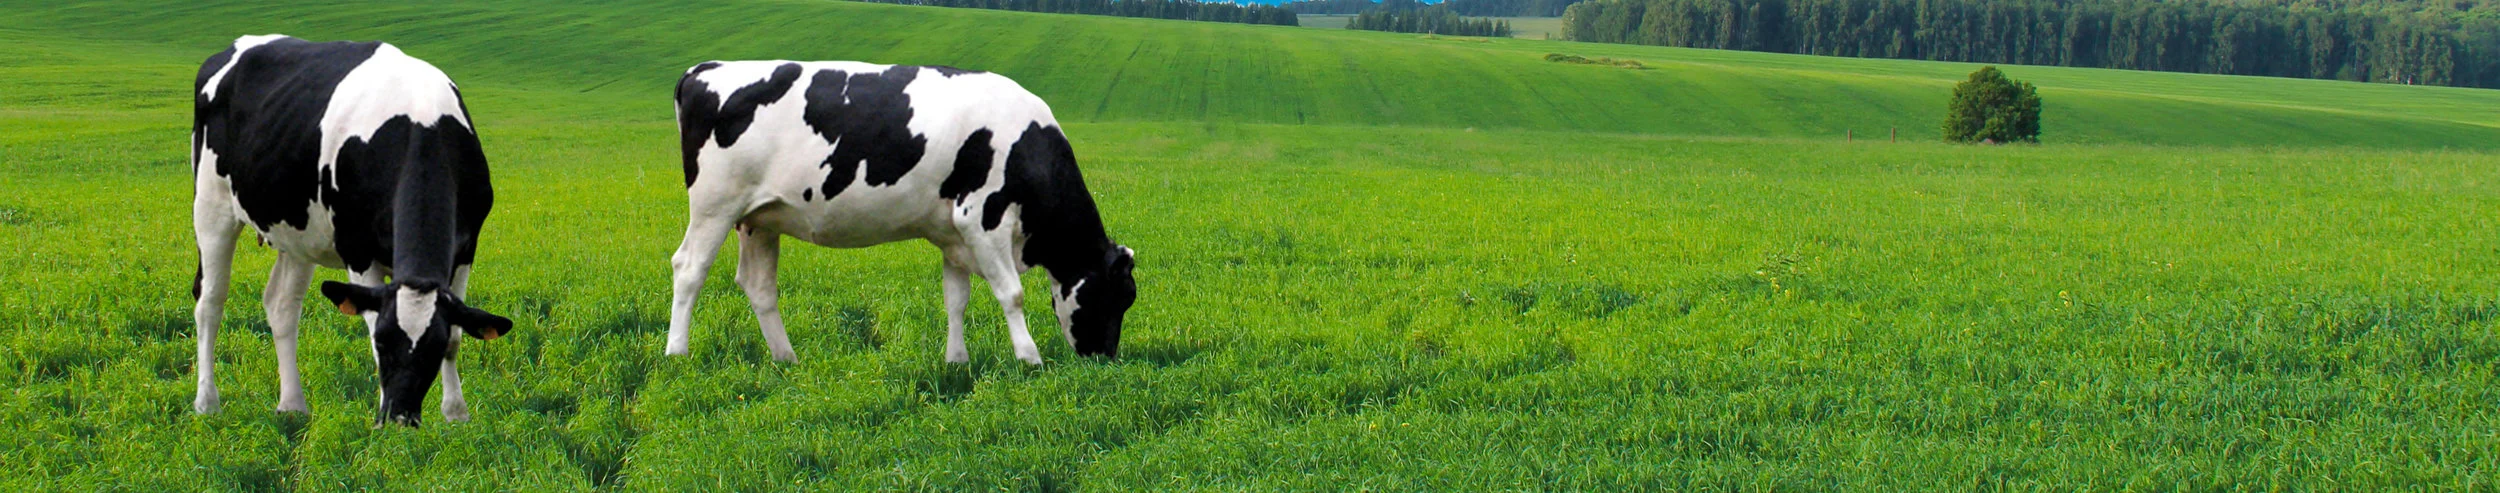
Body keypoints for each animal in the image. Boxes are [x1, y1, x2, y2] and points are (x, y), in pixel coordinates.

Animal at [191, 35, 513, 427]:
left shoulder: (466, 249)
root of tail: (238, 44)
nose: (399, 417)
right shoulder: (357, 250)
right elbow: (370, 324)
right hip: (212, 206)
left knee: (281, 305)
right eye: (383, 344)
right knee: (210, 301)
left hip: (298, 232)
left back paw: (292, 405)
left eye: (432, 351)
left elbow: (456, 335)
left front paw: (455, 414)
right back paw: (207, 402)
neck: (421, 123)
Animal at [669, 61, 1136, 365]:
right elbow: (1012, 294)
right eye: (1119, 296)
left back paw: (786, 359)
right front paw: (1029, 358)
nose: (1106, 357)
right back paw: (677, 353)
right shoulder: (981, 218)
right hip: (714, 204)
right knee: (689, 268)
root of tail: (705, 69)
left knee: (758, 285)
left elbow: (956, 299)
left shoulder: (953, 234)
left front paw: (956, 361)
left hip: (759, 218)